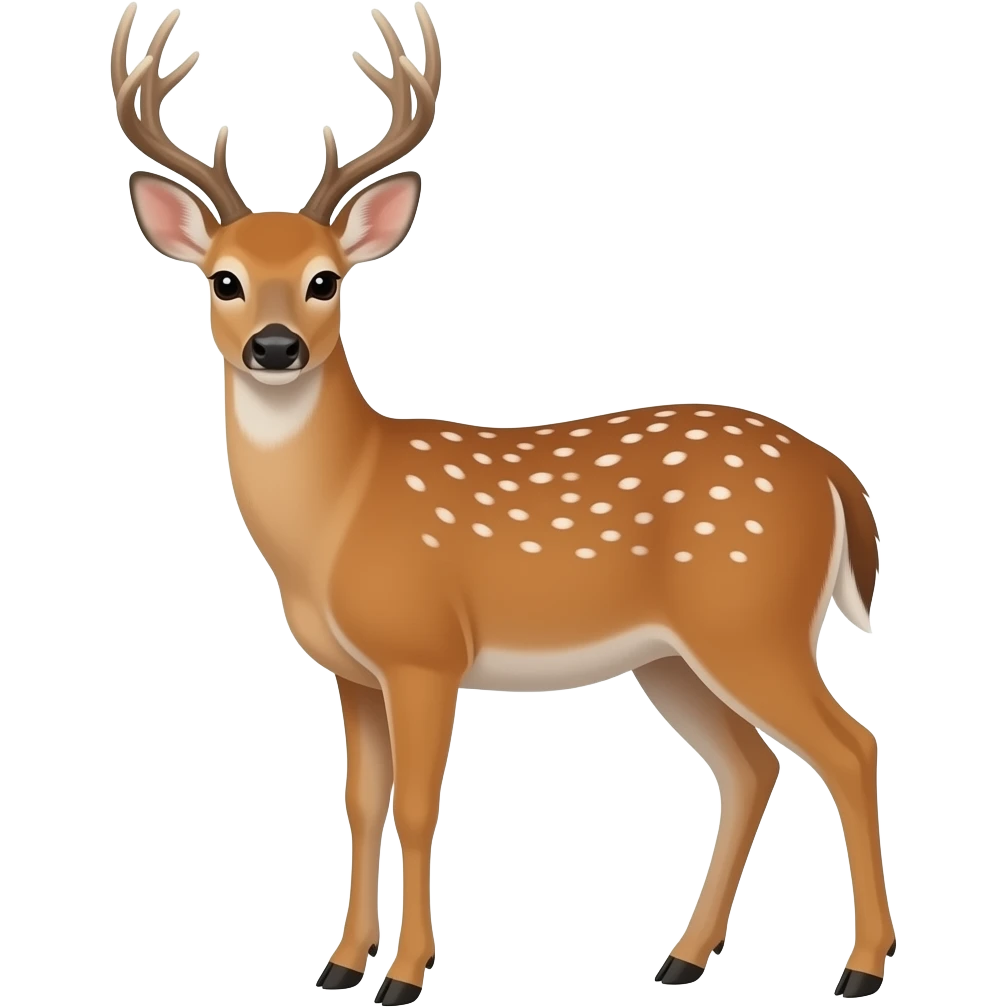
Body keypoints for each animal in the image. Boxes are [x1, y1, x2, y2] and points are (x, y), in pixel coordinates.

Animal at [111, 2, 893, 1001]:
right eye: (223, 279)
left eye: (327, 278)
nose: (276, 346)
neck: (337, 516)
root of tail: (832, 472)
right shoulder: (351, 670)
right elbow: (359, 803)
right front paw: (339, 963)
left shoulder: (425, 650)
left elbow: (414, 806)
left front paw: (405, 972)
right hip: (673, 654)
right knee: (752, 765)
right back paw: (680, 957)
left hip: (751, 616)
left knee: (848, 746)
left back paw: (859, 968)